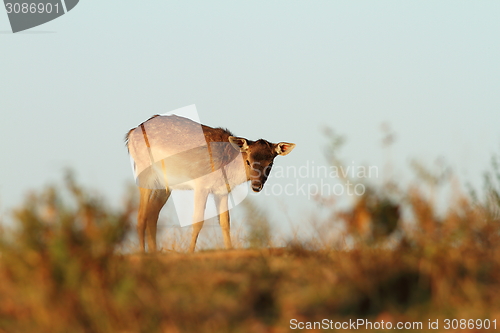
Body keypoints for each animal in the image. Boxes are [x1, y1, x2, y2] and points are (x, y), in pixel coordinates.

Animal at [126, 114, 296, 252]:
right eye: (248, 161)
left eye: (270, 163)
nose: (256, 186)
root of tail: (131, 134)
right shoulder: (201, 185)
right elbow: (197, 220)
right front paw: (190, 252)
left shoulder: (222, 191)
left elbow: (225, 222)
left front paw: (230, 250)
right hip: (145, 173)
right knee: (141, 216)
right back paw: (142, 253)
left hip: (164, 186)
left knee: (152, 213)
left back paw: (154, 252)